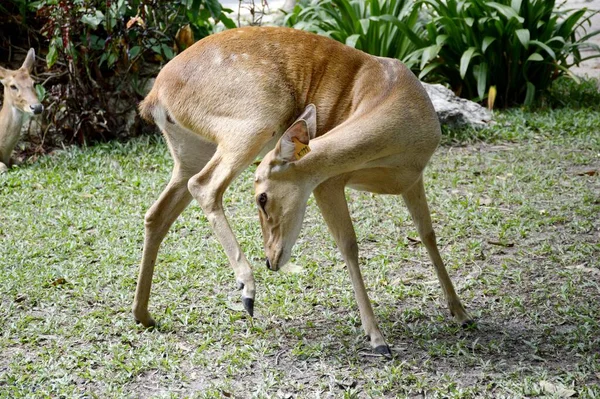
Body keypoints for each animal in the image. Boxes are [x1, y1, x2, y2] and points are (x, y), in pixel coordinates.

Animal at [136, 26, 474, 356]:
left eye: (262, 198)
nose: (270, 260)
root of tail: (154, 97)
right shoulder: (328, 182)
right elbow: (349, 245)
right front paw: (377, 339)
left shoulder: (413, 178)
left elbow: (428, 234)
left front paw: (461, 313)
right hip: (254, 120)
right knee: (204, 185)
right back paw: (247, 289)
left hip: (191, 151)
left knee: (156, 213)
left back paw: (144, 315)